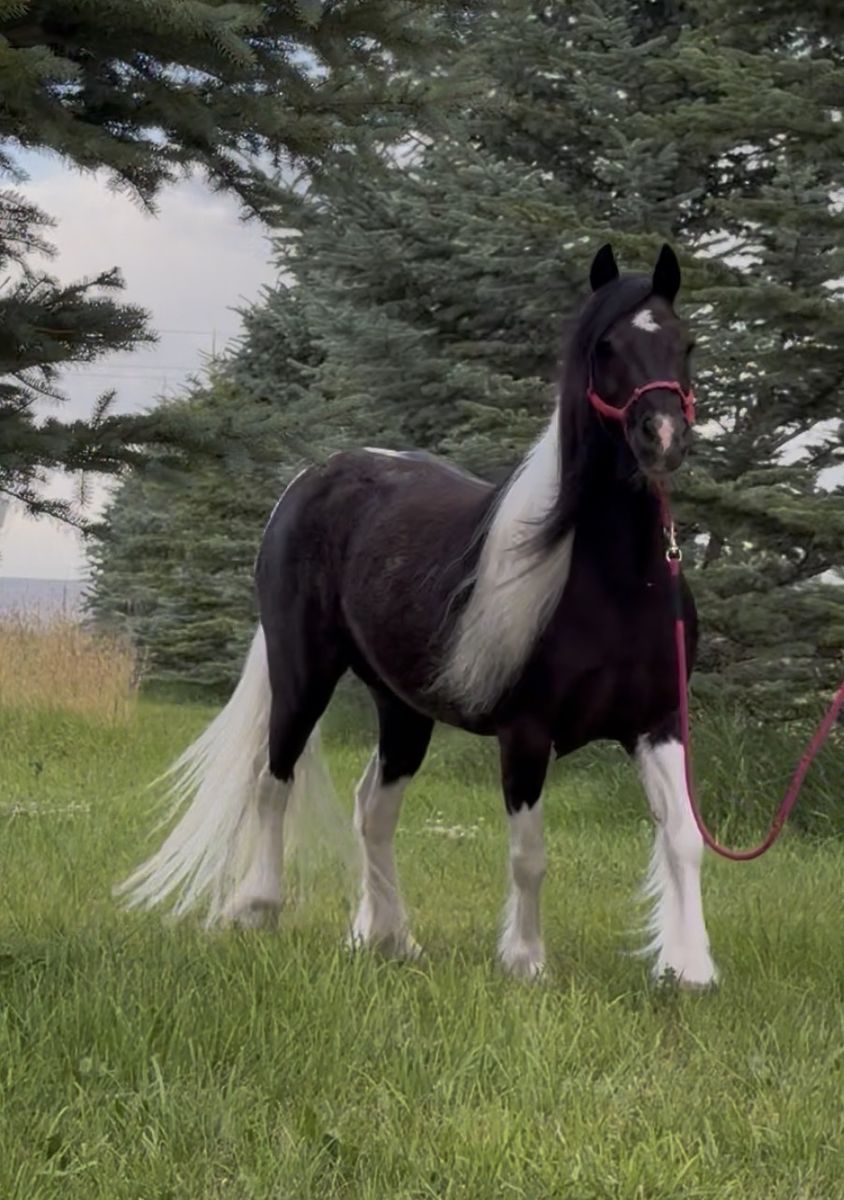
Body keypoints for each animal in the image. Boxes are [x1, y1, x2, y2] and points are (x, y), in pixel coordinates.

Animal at [119, 242, 717, 989]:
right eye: (605, 346)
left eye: (684, 342)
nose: (662, 436)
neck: (612, 582)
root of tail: (314, 478)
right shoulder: (526, 734)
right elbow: (530, 855)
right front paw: (526, 963)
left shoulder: (657, 724)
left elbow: (685, 839)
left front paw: (691, 969)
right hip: (303, 676)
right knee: (273, 779)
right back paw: (257, 908)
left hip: (402, 709)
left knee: (372, 809)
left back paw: (388, 937)